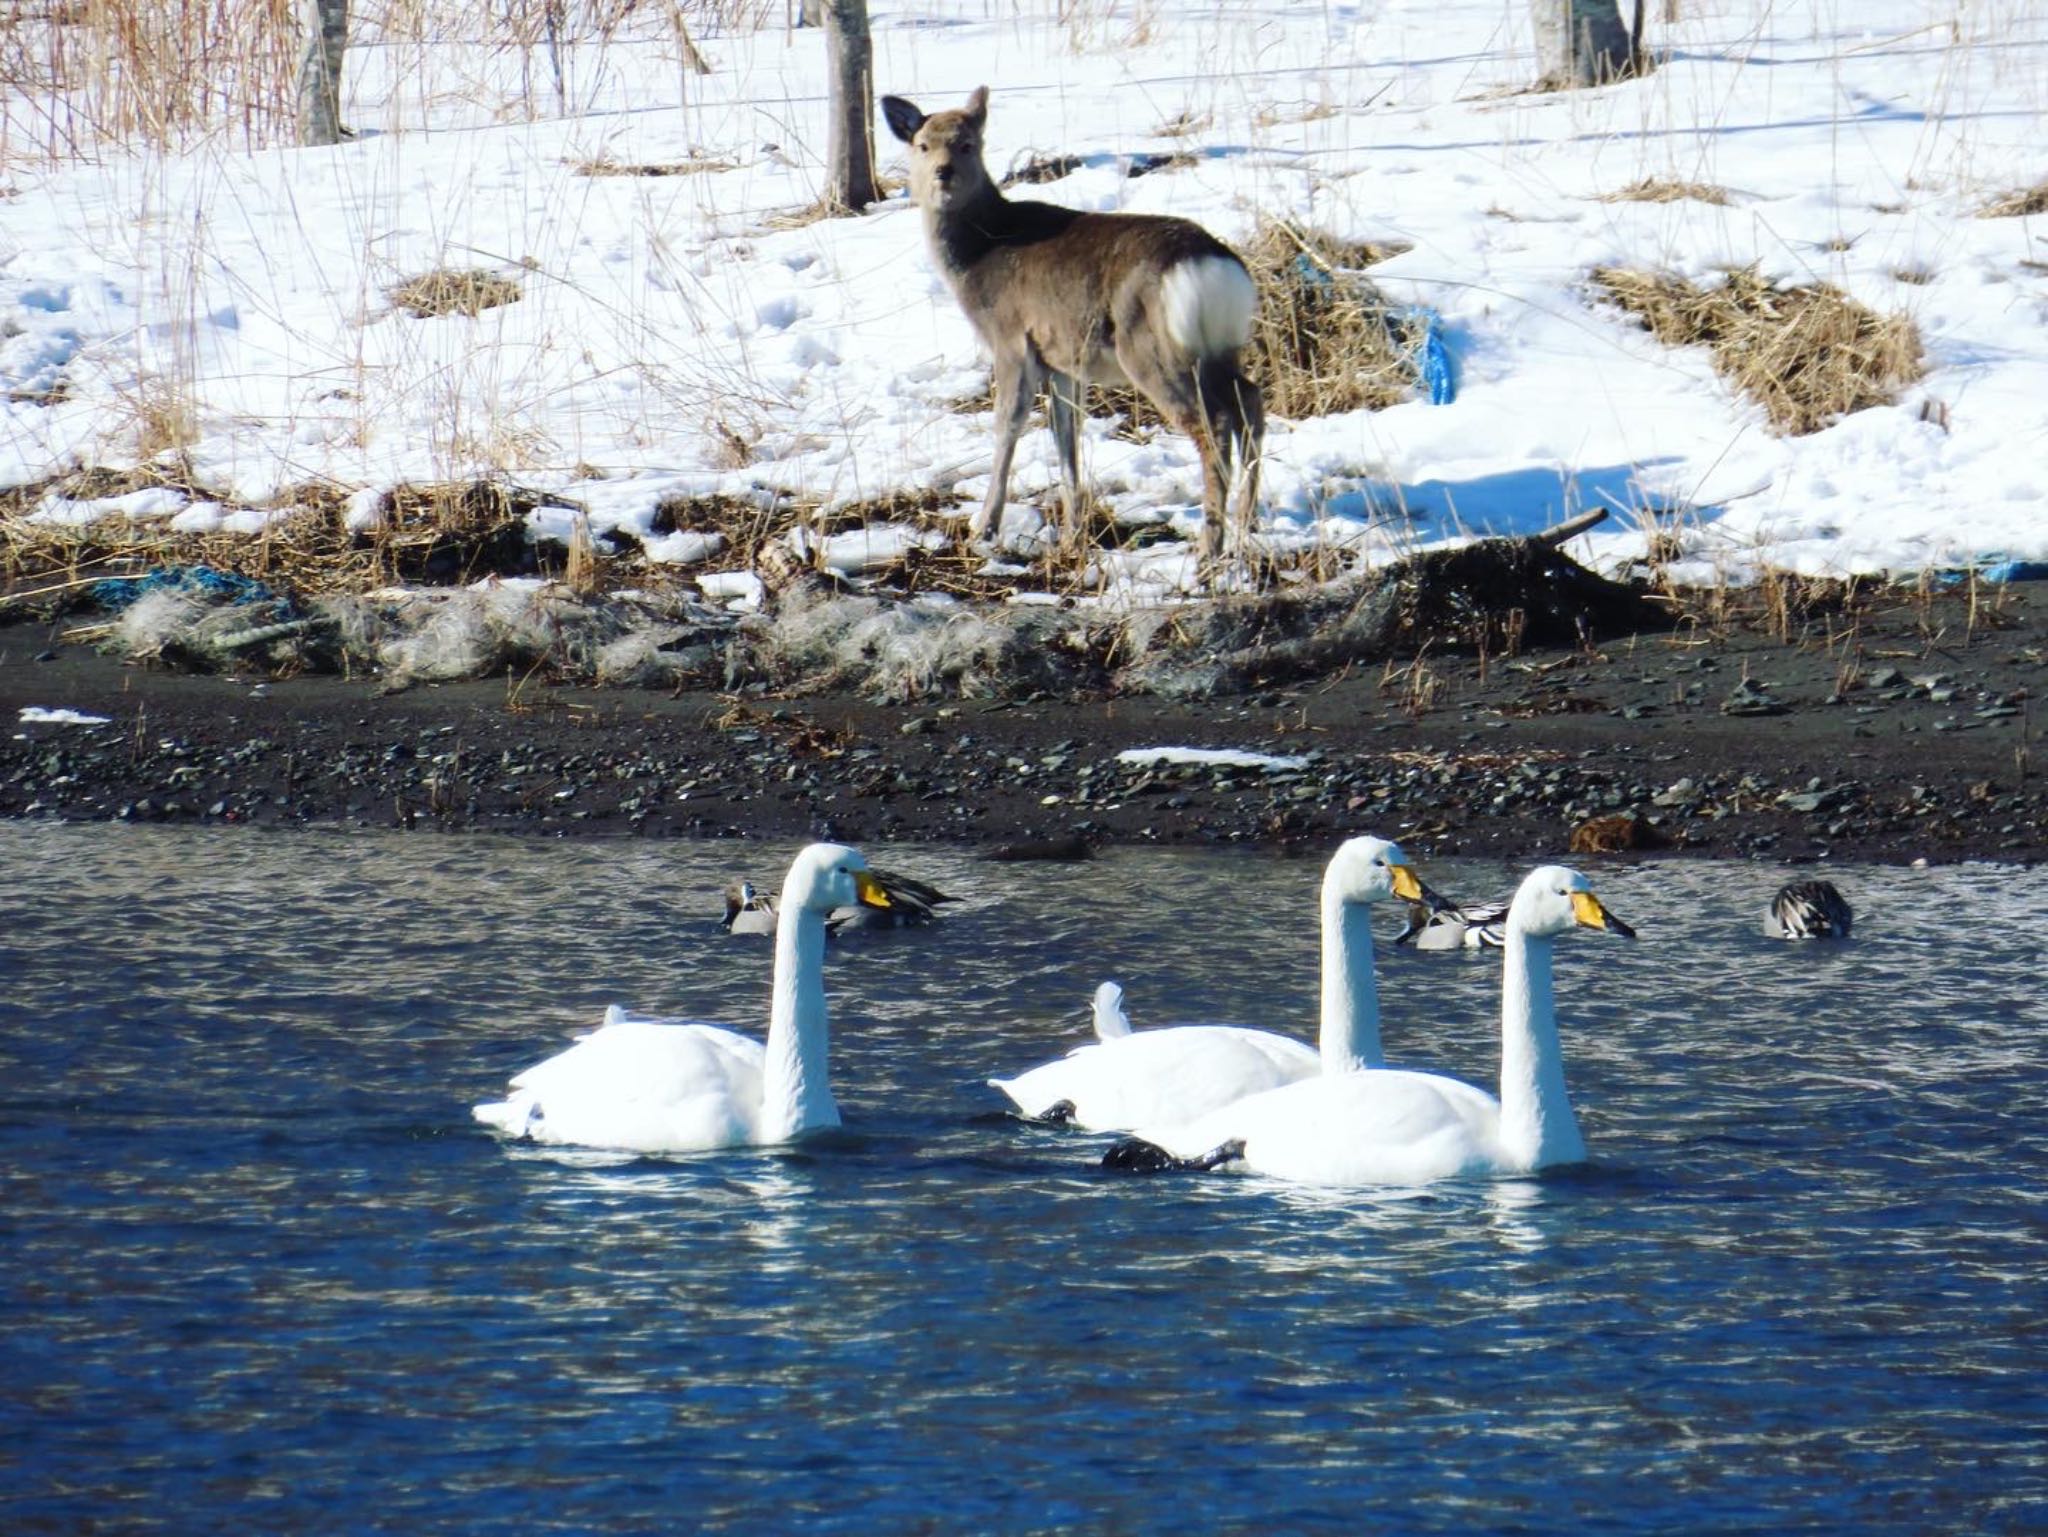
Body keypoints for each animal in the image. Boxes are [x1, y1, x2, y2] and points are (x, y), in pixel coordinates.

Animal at [880, 87, 1261, 573]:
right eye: (922, 145)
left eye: (967, 144)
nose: (942, 173)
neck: (980, 254)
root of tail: (1212, 265)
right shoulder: (1062, 362)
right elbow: (1066, 437)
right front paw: (1071, 534)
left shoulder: (1010, 340)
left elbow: (1008, 425)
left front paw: (985, 527)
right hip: (1219, 348)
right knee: (1250, 401)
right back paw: (1246, 526)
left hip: (1151, 350)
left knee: (1214, 423)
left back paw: (1208, 546)